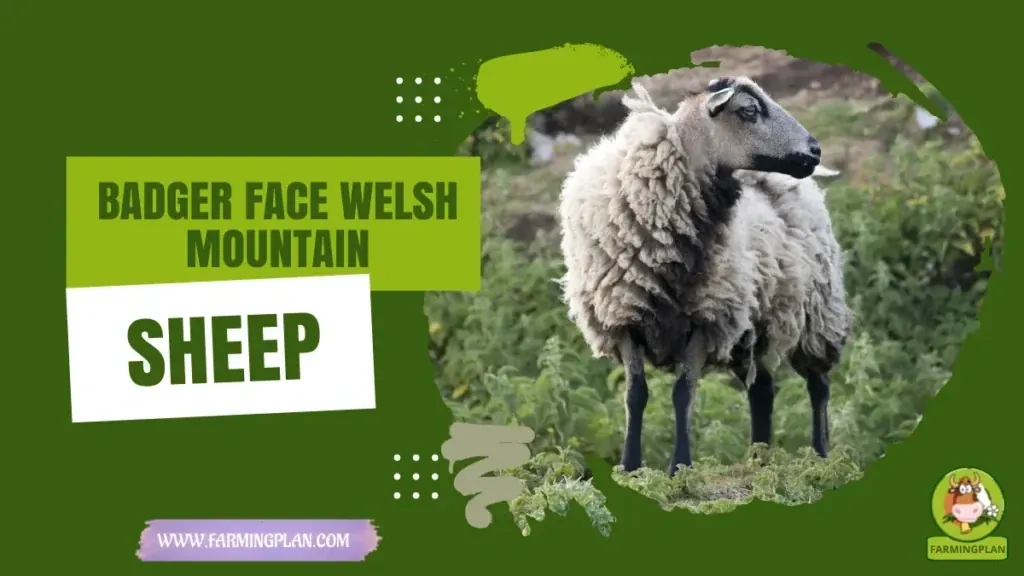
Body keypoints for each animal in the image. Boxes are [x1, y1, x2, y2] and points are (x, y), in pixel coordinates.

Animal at [556, 75, 852, 475]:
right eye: (748, 111)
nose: (815, 150)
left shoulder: (706, 318)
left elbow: (683, 393)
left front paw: (680, 466)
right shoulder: (624, 317)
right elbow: (636, 394)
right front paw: (630, 465)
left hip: (818, 313)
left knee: (818, 386)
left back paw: (821, 456)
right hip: (754, 327)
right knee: (762, 390)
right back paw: (759, 458)